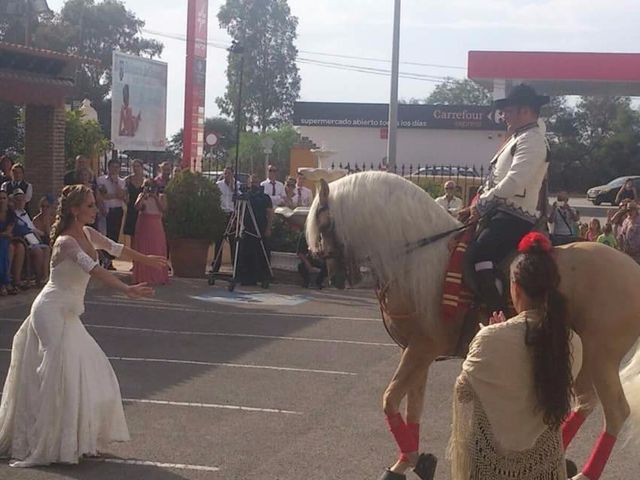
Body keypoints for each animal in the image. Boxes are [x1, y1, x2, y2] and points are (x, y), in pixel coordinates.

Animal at [304, 172, 640, 480]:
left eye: (324, 224)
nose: (335, 277)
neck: (417, 259)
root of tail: (631, 268)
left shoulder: (420, 350)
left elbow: (389, 400)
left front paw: (410, 461)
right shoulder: (417, 352)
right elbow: (413, 406)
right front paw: (408, 461)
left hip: (601, 356)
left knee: (616, 411)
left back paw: (583, 471)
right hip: (584, 356)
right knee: (585, 403)